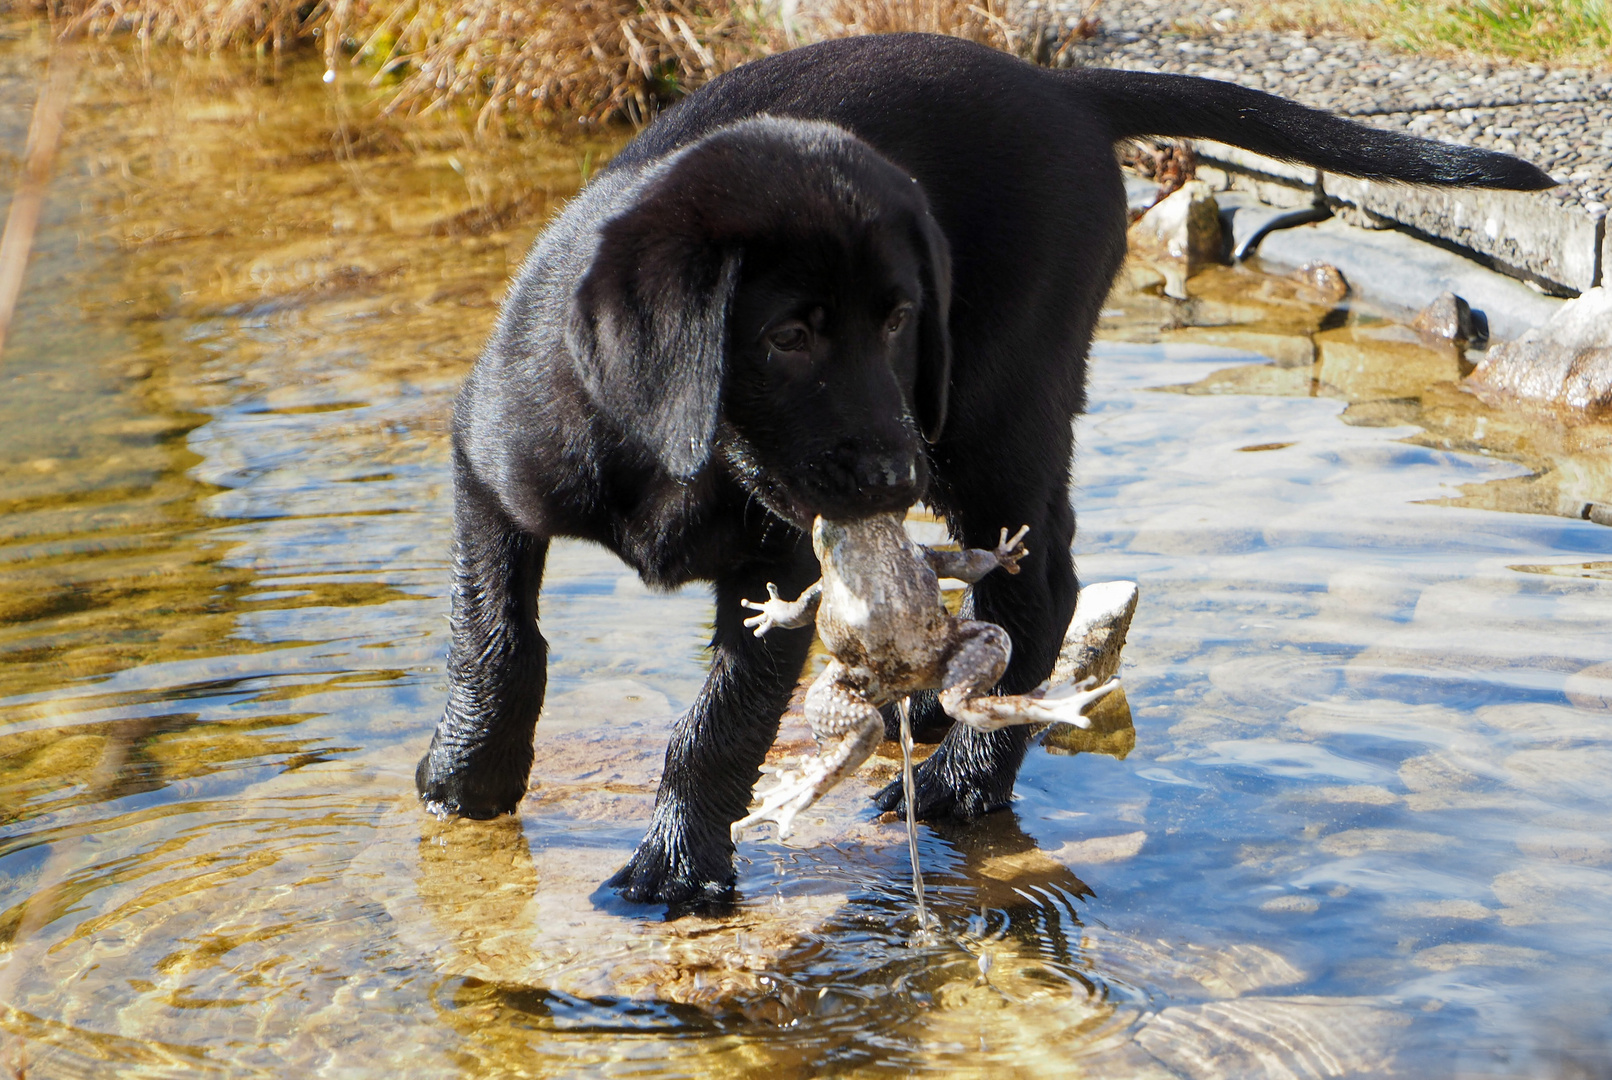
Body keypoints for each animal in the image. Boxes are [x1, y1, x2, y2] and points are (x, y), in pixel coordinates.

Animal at [415, 31, 1547, 902]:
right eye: (788, 336)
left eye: (900, 319)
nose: (890, 482)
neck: (677, 459)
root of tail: (1065, 88)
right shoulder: (488, 469)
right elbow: (496, 639)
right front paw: (468, 776)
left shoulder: (782, 565)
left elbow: (720, 721)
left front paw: (678, 866)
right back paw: (927, 718)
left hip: (997, 411)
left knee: (1041, 593)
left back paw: (961, 783)